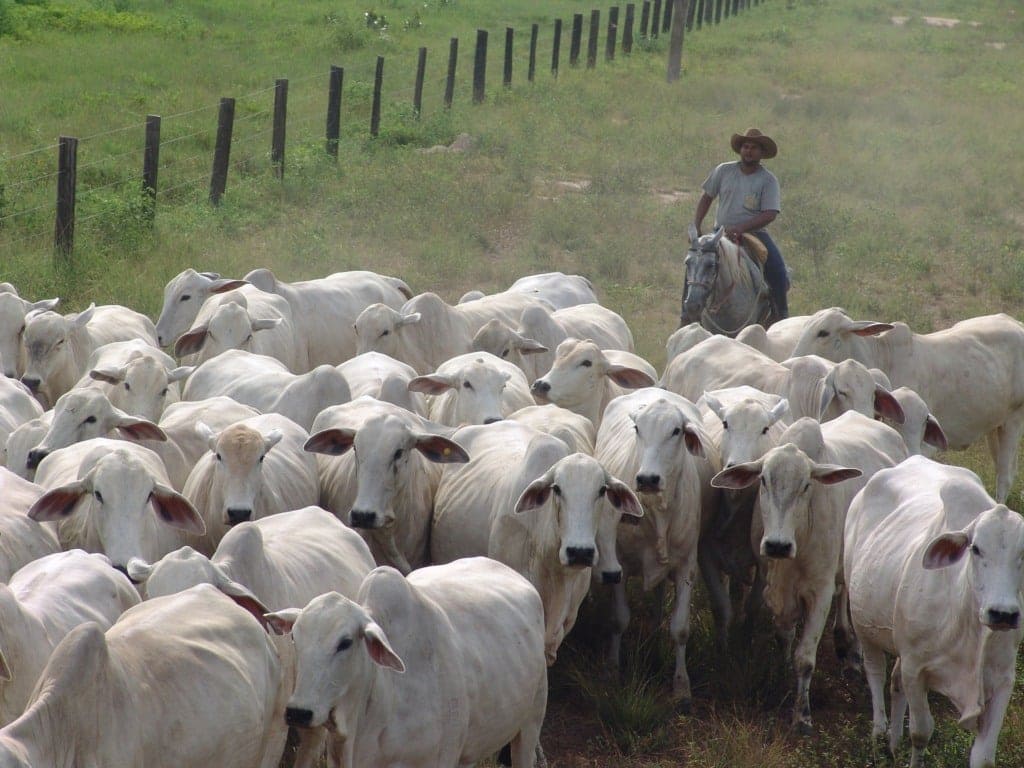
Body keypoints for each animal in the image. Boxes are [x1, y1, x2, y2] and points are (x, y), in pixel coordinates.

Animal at [712, 411, 908, 732]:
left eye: (806, 486)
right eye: (763, 481)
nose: (777, 545)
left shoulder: (819, 590)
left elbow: (804, 658)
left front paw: (801, 715)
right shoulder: (773, 584)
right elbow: (784, 637)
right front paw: (781, 672)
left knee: (847, 597)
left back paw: (852, 652)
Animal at [790, 308, 1024, 501]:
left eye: (823, 332)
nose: (792, 358)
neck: (883, 356)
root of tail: (1016, 324)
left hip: (1014, 420)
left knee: (1004, 476)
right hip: (995, 426)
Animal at [845, 455, 1024, 767]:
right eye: (975, 548)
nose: (1003, 614)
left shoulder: (1003, 680)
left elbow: (983, 757)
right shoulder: (916, 669)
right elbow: (921, 732)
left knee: (894, 682)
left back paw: (893, 743)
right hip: (863, 627)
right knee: (876, 673)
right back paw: (879, 734)